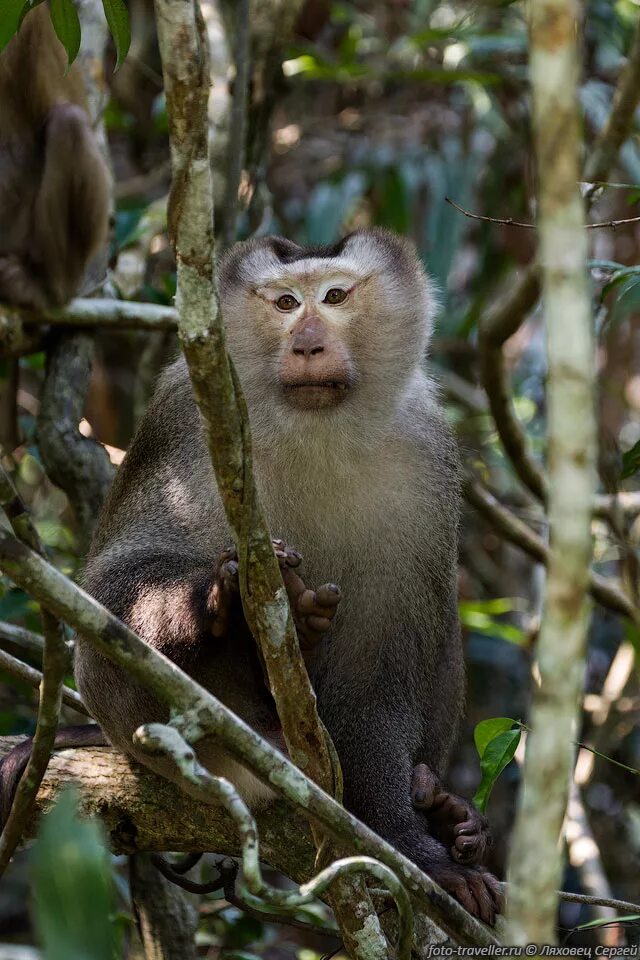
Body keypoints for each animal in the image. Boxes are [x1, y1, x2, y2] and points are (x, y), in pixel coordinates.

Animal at [70, 231, 500, 924]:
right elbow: (112, 581)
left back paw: (438, 805)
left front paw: (415, 848)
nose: (307, 344)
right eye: (285, 302)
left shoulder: (427, 456)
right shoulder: (182, 417)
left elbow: (378, 671)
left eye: (335, 295)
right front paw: (206, 599)